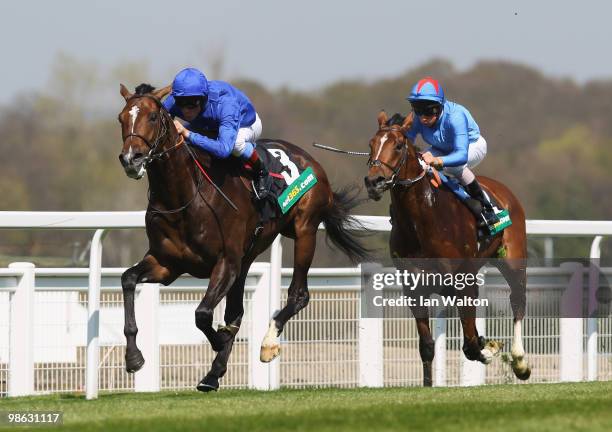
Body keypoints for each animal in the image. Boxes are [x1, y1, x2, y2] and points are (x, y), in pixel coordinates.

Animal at [117, 83, 370, 392]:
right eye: (121, 118)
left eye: (153, 117)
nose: (131, 159)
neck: (187, 196)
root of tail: (309, 159)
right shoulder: (166, 264)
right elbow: (128, 279)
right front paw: (134, 357)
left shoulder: (226, 262)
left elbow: (202, 314)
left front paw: (219, 340)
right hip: (247, 258)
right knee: (236, 312)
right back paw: (212, 375)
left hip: (304, 230)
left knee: (298, 294)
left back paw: (268, 343)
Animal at [364, 110, 532, 384]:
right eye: (371, 144)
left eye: (398, 146)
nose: (374, 181)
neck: (422, 220)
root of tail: (503, 190)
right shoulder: (414, 287)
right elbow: (427, 346)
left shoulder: (464, 281)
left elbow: (471, 344)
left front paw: (488, 349)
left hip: (513, 260)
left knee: (518, 300)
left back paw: (519, 362)